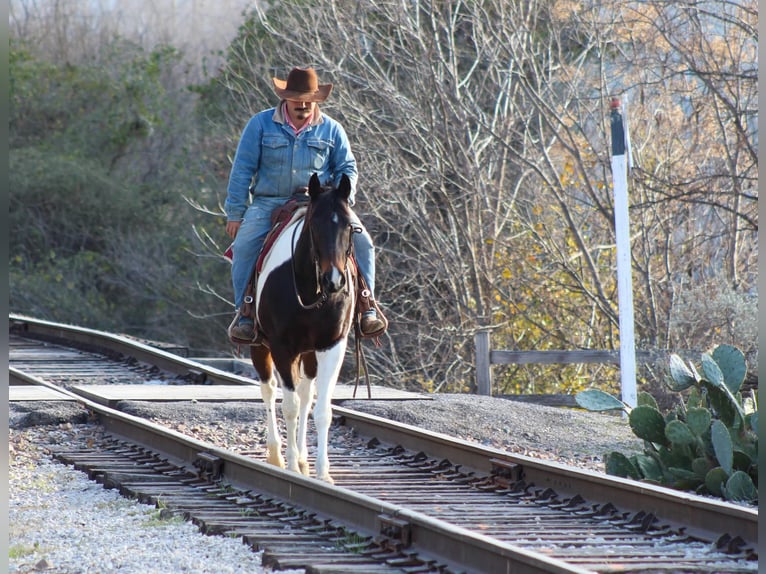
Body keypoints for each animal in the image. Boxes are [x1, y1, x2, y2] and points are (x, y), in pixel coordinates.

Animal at [252, 173, 360, 484]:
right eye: (314, 225)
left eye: (350, 226)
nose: (334, 280)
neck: (311, 290)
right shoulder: (281, 347)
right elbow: (288, 406)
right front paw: (289, 467)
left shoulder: (332, 346)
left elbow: (321, 409)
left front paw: (322, 473)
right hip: (259, 346)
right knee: (269, 390)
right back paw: (277, 456)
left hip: (309, 353)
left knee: (305, 395)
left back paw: (302, 460)